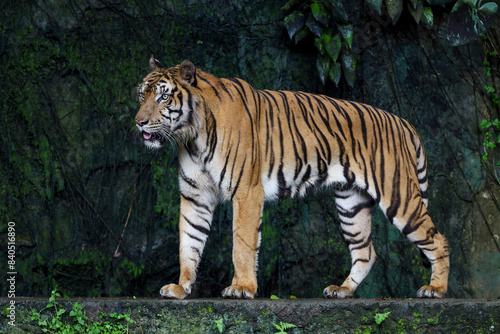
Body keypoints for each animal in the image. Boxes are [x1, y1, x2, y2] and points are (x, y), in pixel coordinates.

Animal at [136, 56, 450, 298]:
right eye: (142, 95)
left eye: (164, 96)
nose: (139, 122)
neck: (192, 136)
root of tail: (403, 122)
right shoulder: (194, 195)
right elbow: (188, 242)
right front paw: (181, 288)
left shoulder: (246, 191)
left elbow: (242, 244)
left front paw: (242, 288)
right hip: (351, 204)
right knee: (366, 251)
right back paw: (343, 290)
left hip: (398, 196)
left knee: (438, 239)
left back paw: (435, 289)